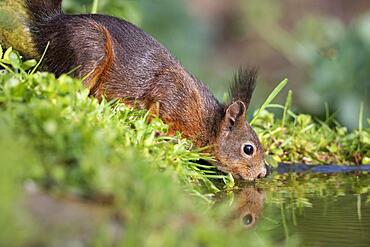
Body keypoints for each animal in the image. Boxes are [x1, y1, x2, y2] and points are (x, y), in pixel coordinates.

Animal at [0, 0, 268, 181]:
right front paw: (158, 135)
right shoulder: (171, 94)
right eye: (248, 149)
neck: (209, 122)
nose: (263, 173)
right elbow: (155, 107)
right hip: (90, 49)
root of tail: (51, 27)